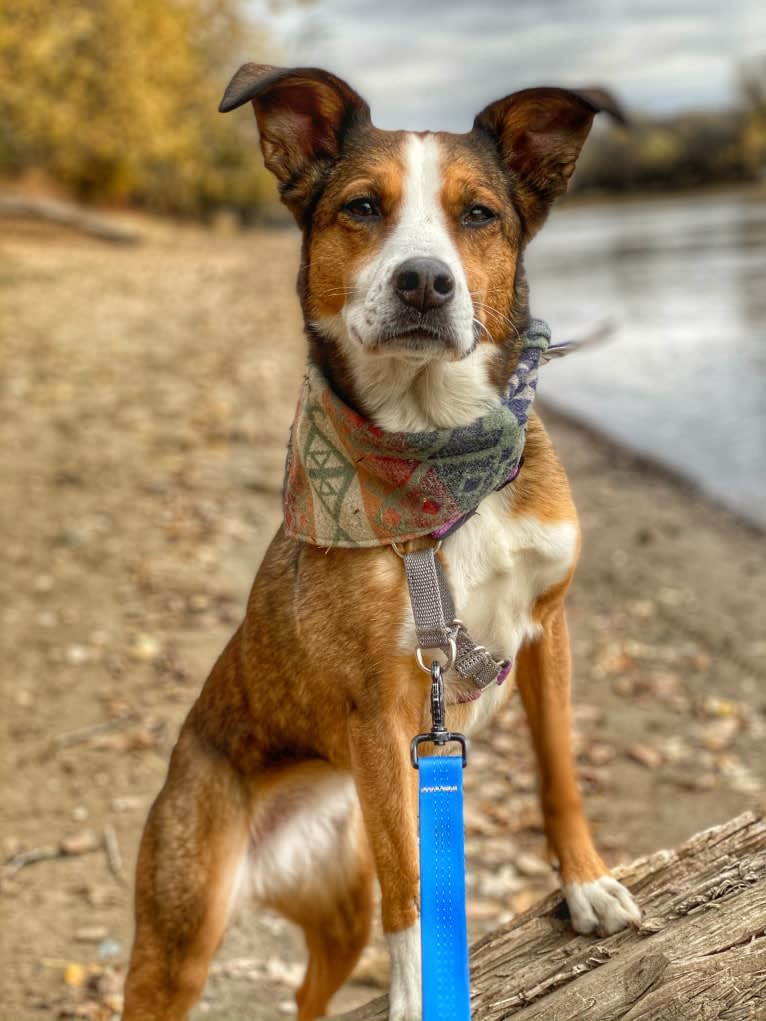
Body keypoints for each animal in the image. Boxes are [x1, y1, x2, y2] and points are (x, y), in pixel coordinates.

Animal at [124, 65, 641, 1021]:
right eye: (362, 207)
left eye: (479, 214)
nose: (426, 282)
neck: (437, 454)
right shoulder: (379, 716)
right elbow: (413, 877)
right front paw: (419, 990)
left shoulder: (547, 627)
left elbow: (559, 774)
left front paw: (586, 882)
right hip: (179, 930)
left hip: (338, 909)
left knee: (307, 990)